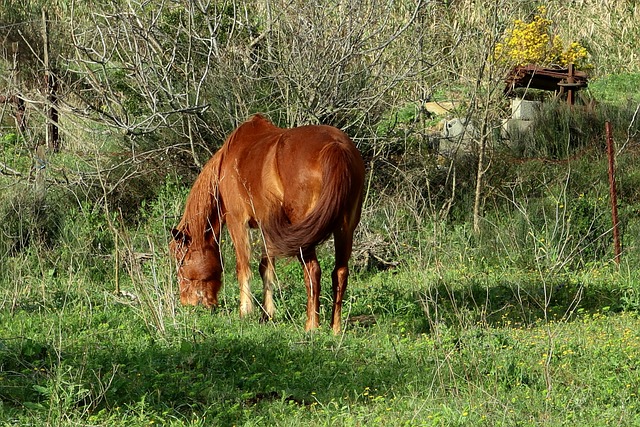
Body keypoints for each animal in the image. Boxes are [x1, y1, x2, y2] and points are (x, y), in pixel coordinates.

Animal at [170, 114, 364, 334]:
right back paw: (335, 328)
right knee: (340, 273)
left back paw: (311, 326)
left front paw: (245, 312)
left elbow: (243, 267)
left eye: (182, 261)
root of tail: (335, 146)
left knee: (313, 271)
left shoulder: (237, 221)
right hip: (344, 230)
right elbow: (266, 269)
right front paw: (267, 314)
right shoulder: (269, 228)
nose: (188, 303)